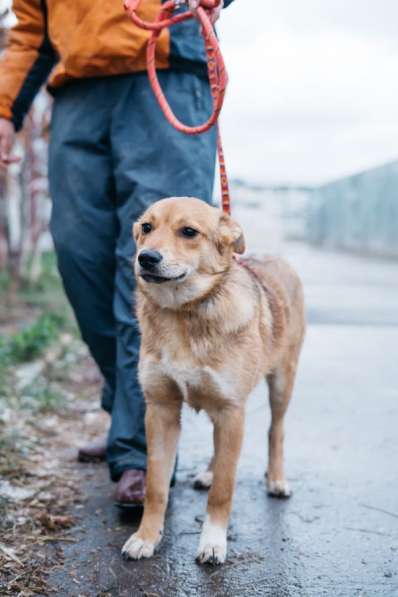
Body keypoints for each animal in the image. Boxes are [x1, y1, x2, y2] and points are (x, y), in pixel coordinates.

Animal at [121, 198, 304, 564]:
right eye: (146, 227)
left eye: (189, 232)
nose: (146, 257)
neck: (183, 311)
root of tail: (276, 257)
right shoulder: (161, 410)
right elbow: (156, 487)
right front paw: (146, 537)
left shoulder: (231, 411)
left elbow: (223, 489)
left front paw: (213, 542)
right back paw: (208, 471)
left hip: (281, 383)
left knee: (275, 430)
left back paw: (276, 479)